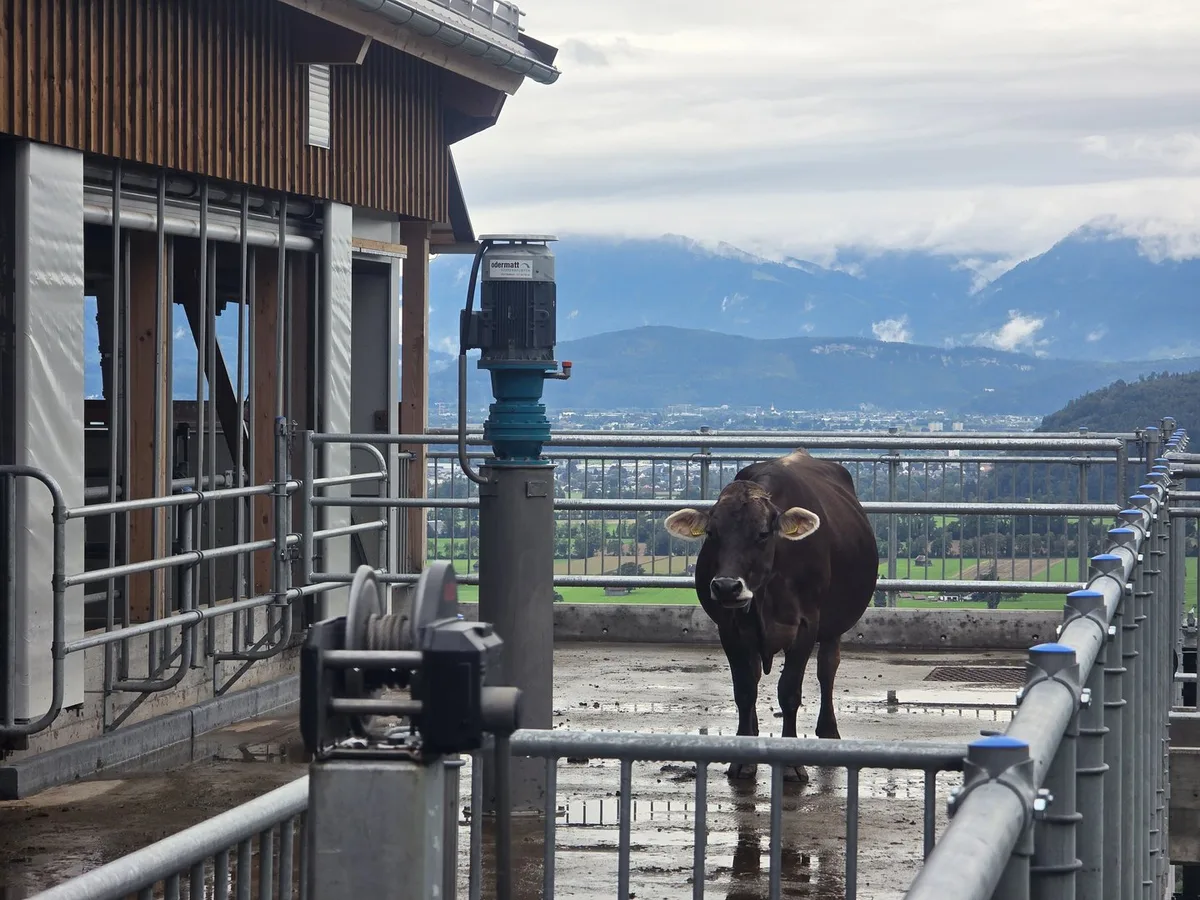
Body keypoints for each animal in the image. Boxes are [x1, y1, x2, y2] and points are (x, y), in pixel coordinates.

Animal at [664, 449, 878, 782]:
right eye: (712, 533)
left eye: (763, 533)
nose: (726, 587)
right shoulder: (730, 628)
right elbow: (744, 689)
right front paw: (743, 758)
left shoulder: (806, 626)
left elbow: (789, 691)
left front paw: (791, 763)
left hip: (833, 626)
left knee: (827, 668)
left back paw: (829, 730)